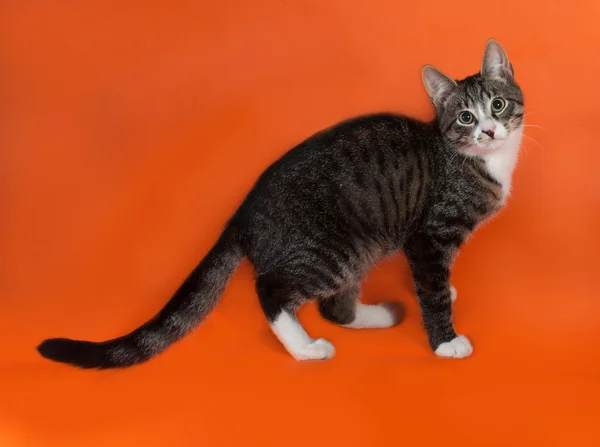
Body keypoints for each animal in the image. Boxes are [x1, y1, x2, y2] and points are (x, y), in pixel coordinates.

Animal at [37, 37, 524, 368]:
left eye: (499, 105)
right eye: (466, 117)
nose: (489, 131)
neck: (479, 161)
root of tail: (242, 213)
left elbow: (436, 280)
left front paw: (447, 290)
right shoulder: (428, 236)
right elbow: (431, 285)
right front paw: (446, 339)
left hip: (361, 249)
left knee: (335, 309)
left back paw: (380, 314)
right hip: (332, 250)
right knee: (272, 290)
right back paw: (306, 348)